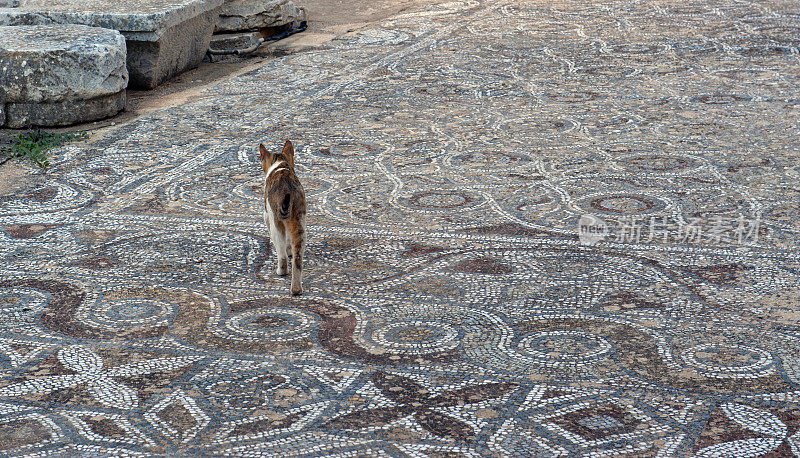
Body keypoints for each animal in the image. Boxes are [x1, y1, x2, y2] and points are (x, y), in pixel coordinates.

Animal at [260, 140, 306, 296]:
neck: (281, 165)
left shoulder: (267, 215)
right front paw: (289, 249)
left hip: (276, 222)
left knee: (282, 256)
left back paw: (281, 271)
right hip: (299, 222)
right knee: (297, 259)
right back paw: (296, 288)